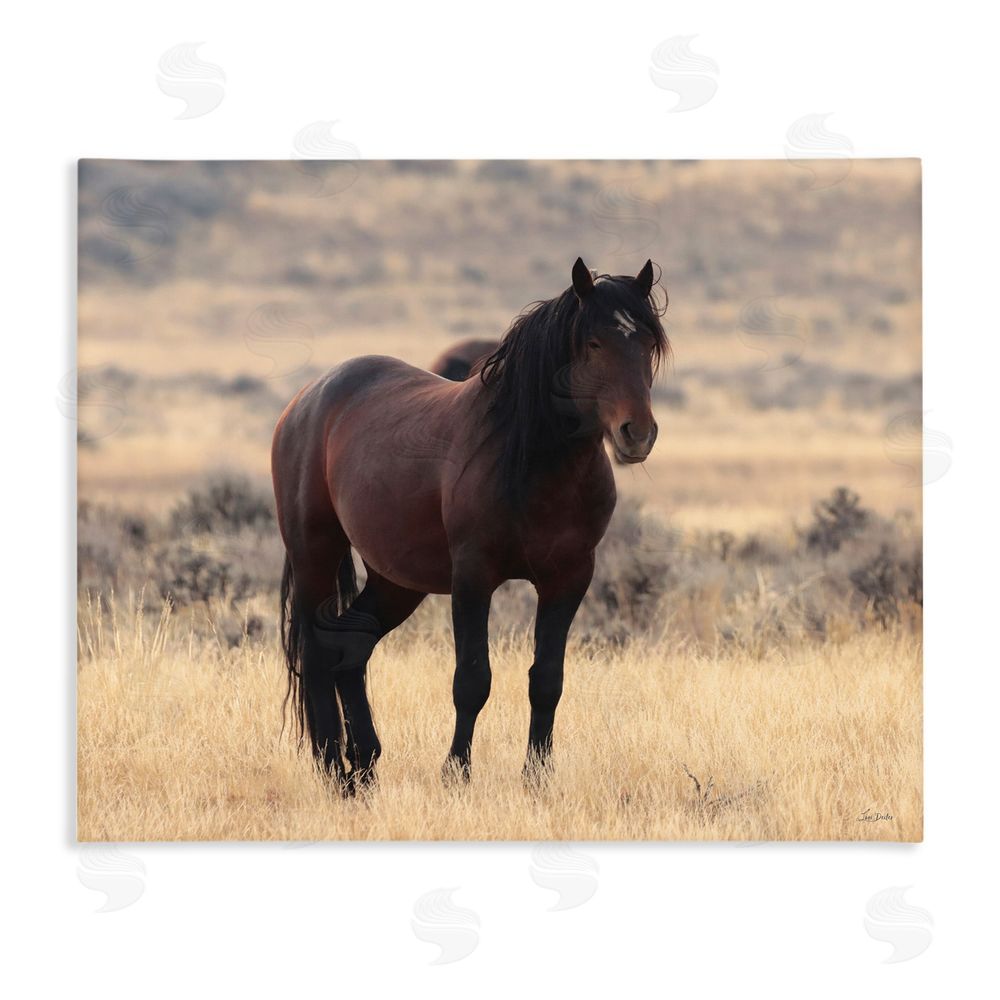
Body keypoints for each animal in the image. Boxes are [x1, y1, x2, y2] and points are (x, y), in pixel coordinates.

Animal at [271, 257, 669, 793]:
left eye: (648, 344)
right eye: (593, 343)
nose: (637, 433)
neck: (534, 463)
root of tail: (306, 400)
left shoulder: (568, 579)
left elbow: (547, 680)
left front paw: (536, 777)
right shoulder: (473, 577)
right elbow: (472, 679)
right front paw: (456, 772)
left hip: (396, 580)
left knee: (349, 649)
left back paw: (366, 767)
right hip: (315, 552)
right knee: (316, 653)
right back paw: (334, 769)